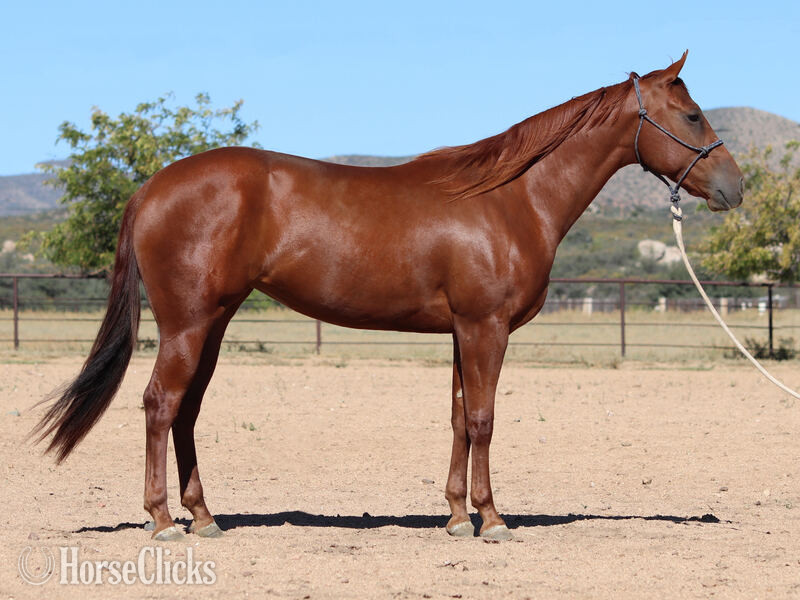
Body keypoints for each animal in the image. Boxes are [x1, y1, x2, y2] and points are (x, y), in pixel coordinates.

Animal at [32, 51, 743, 541]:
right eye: (691, 114)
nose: (735, 187)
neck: (510, 199)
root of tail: (151, 188)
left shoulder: (464, 331)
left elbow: (460, 418)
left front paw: (456, 516)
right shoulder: (485, 327)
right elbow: (484, 420)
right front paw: (492, 519)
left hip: (212, 322)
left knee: (184, 410)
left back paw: (204, 516)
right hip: (187, 323)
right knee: (159, 404)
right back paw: (162, 521)